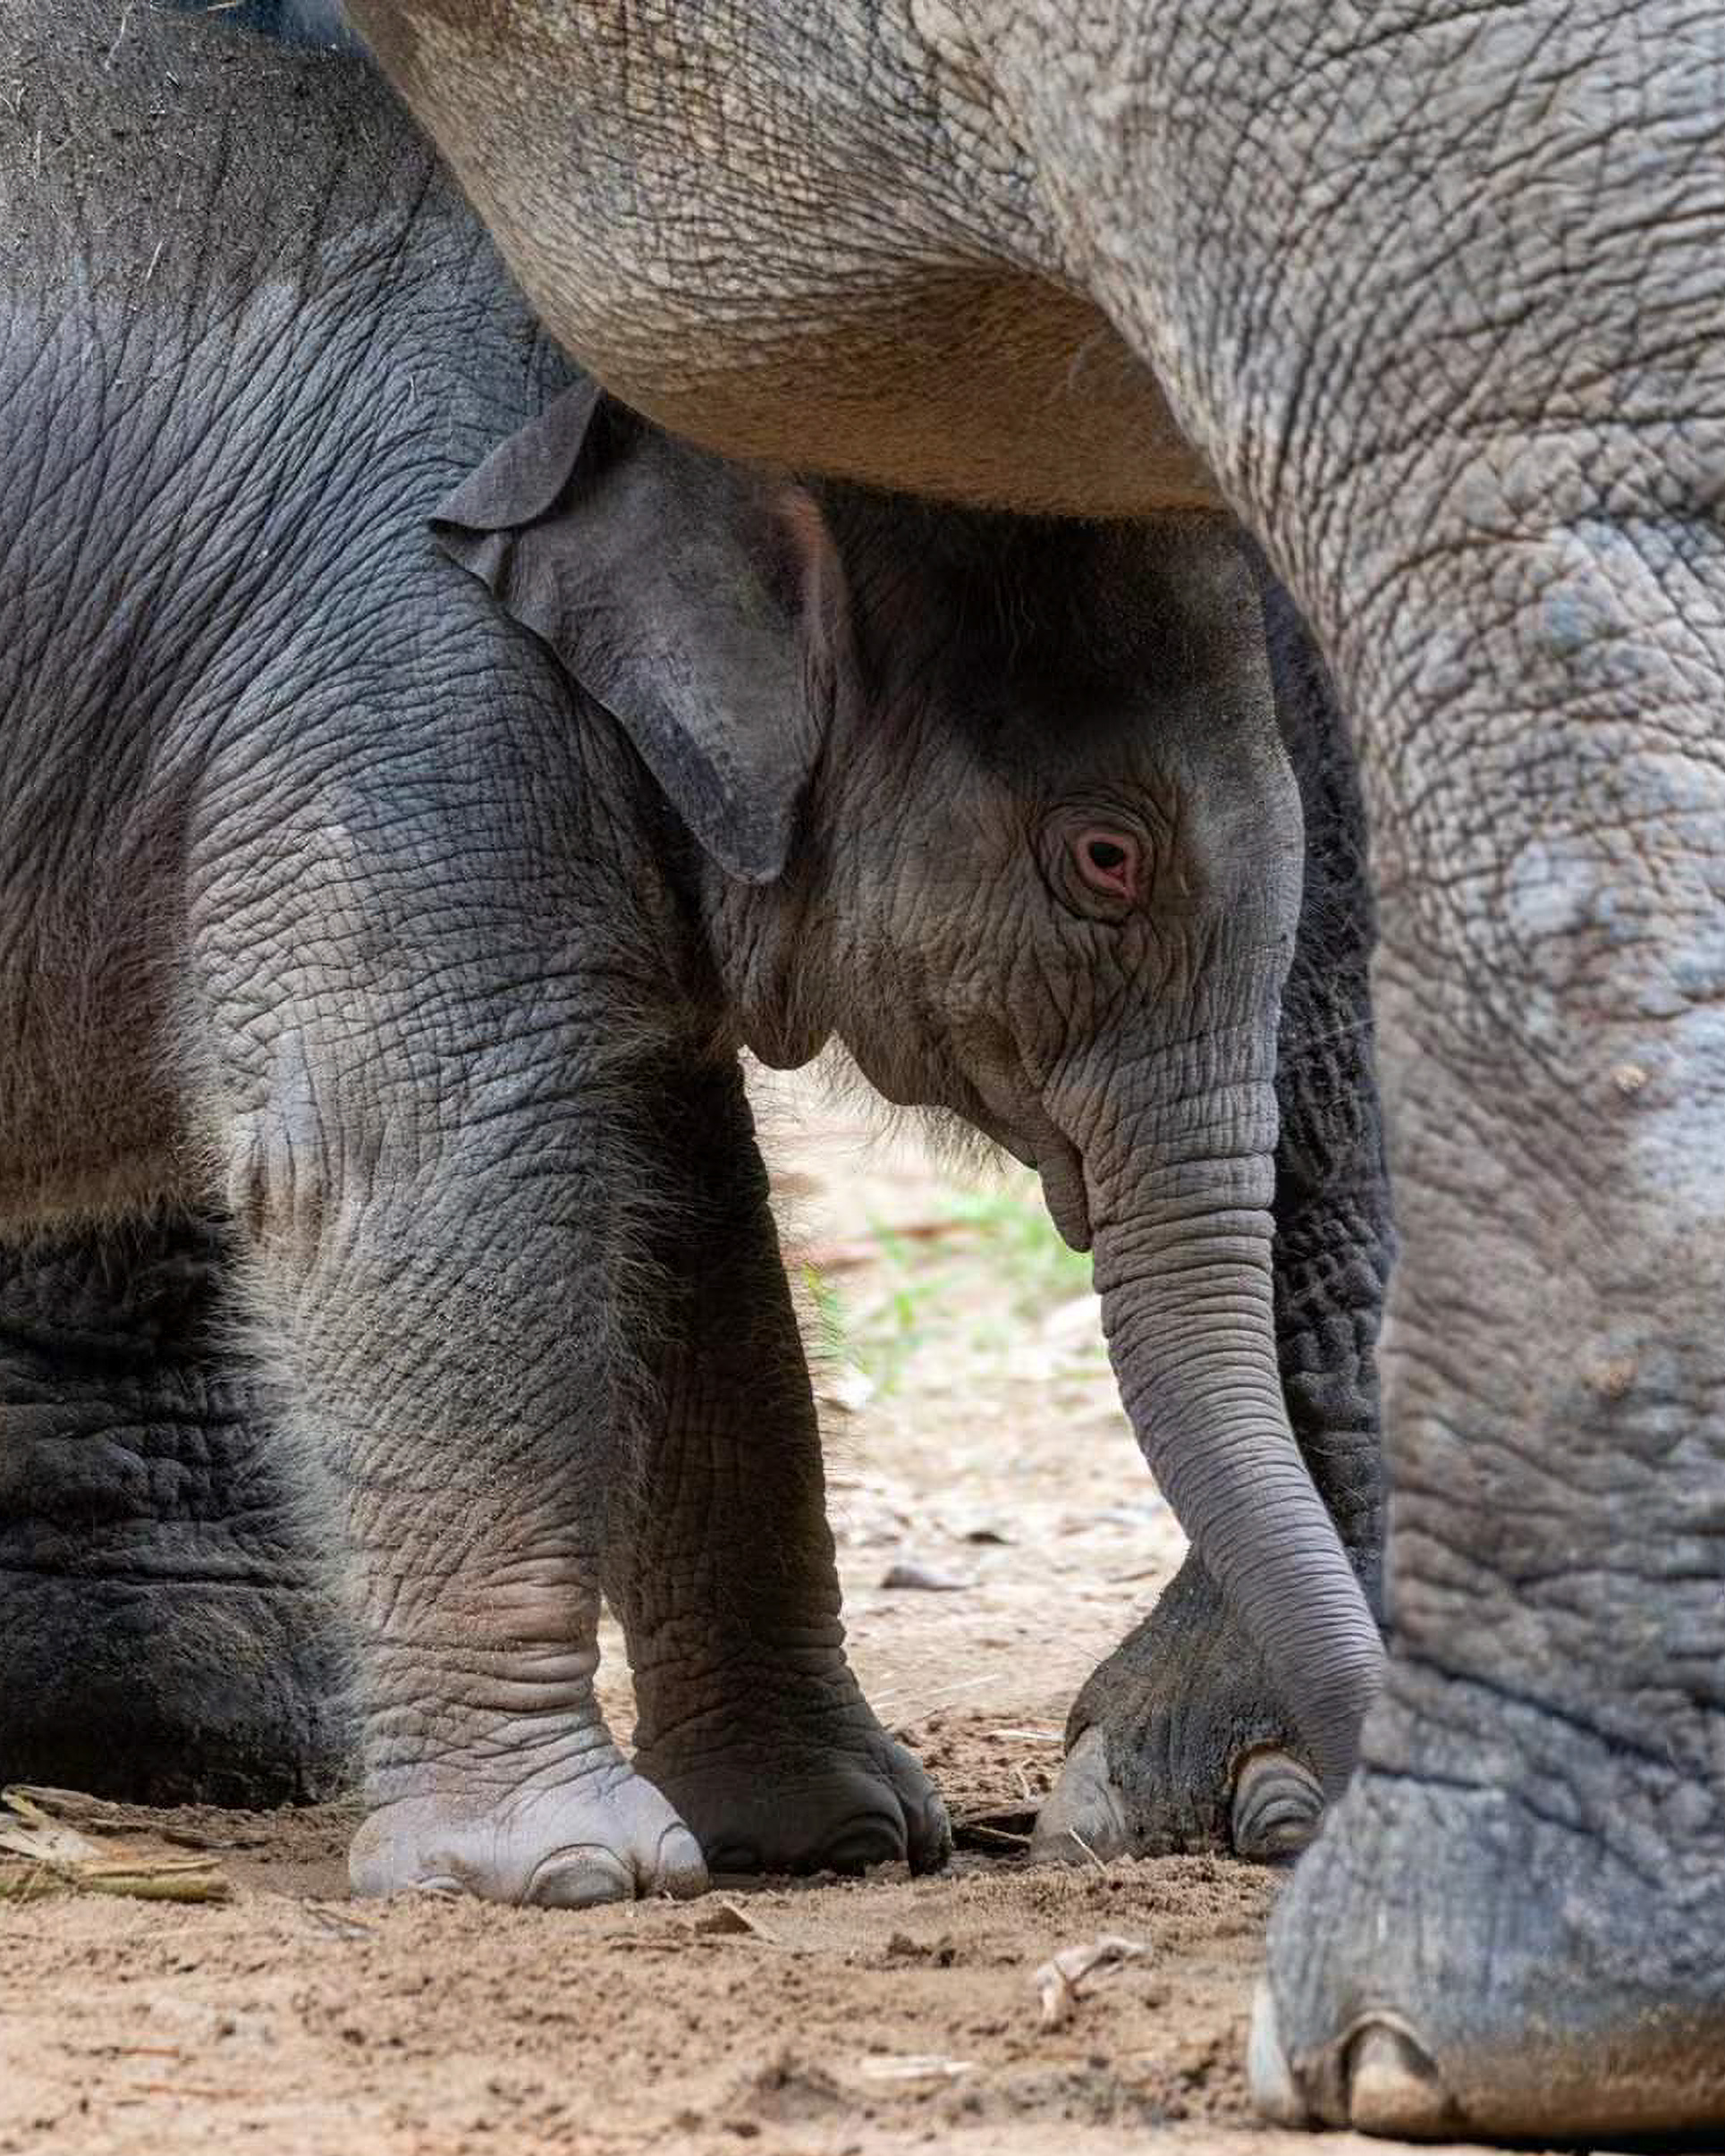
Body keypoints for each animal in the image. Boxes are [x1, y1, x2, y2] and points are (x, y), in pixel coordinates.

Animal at [0, 3, 1389, 1897]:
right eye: (1102, 860)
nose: (1309, 1824)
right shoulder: (388, 682)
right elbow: (408, 1167)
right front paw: (567, 1873)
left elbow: (687, 1229)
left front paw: (829, 1834)